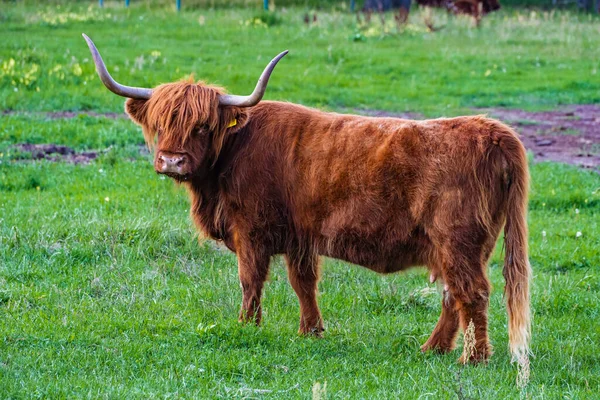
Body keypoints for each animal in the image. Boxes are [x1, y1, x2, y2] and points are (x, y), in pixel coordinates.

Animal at [83, 34, 528, 366]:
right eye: (160, 123)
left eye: (203, 126)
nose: (171, 161)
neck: (232, 153)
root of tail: (492, 131)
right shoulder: (301, 236)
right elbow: (304, 283)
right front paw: (311, 331)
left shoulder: (251, 231)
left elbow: (250, 280)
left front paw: (246, 326)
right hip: (466, 246)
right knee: (454, 296)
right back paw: (432, 349)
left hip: (457, 241)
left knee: (472, 293)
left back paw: (473, 358)